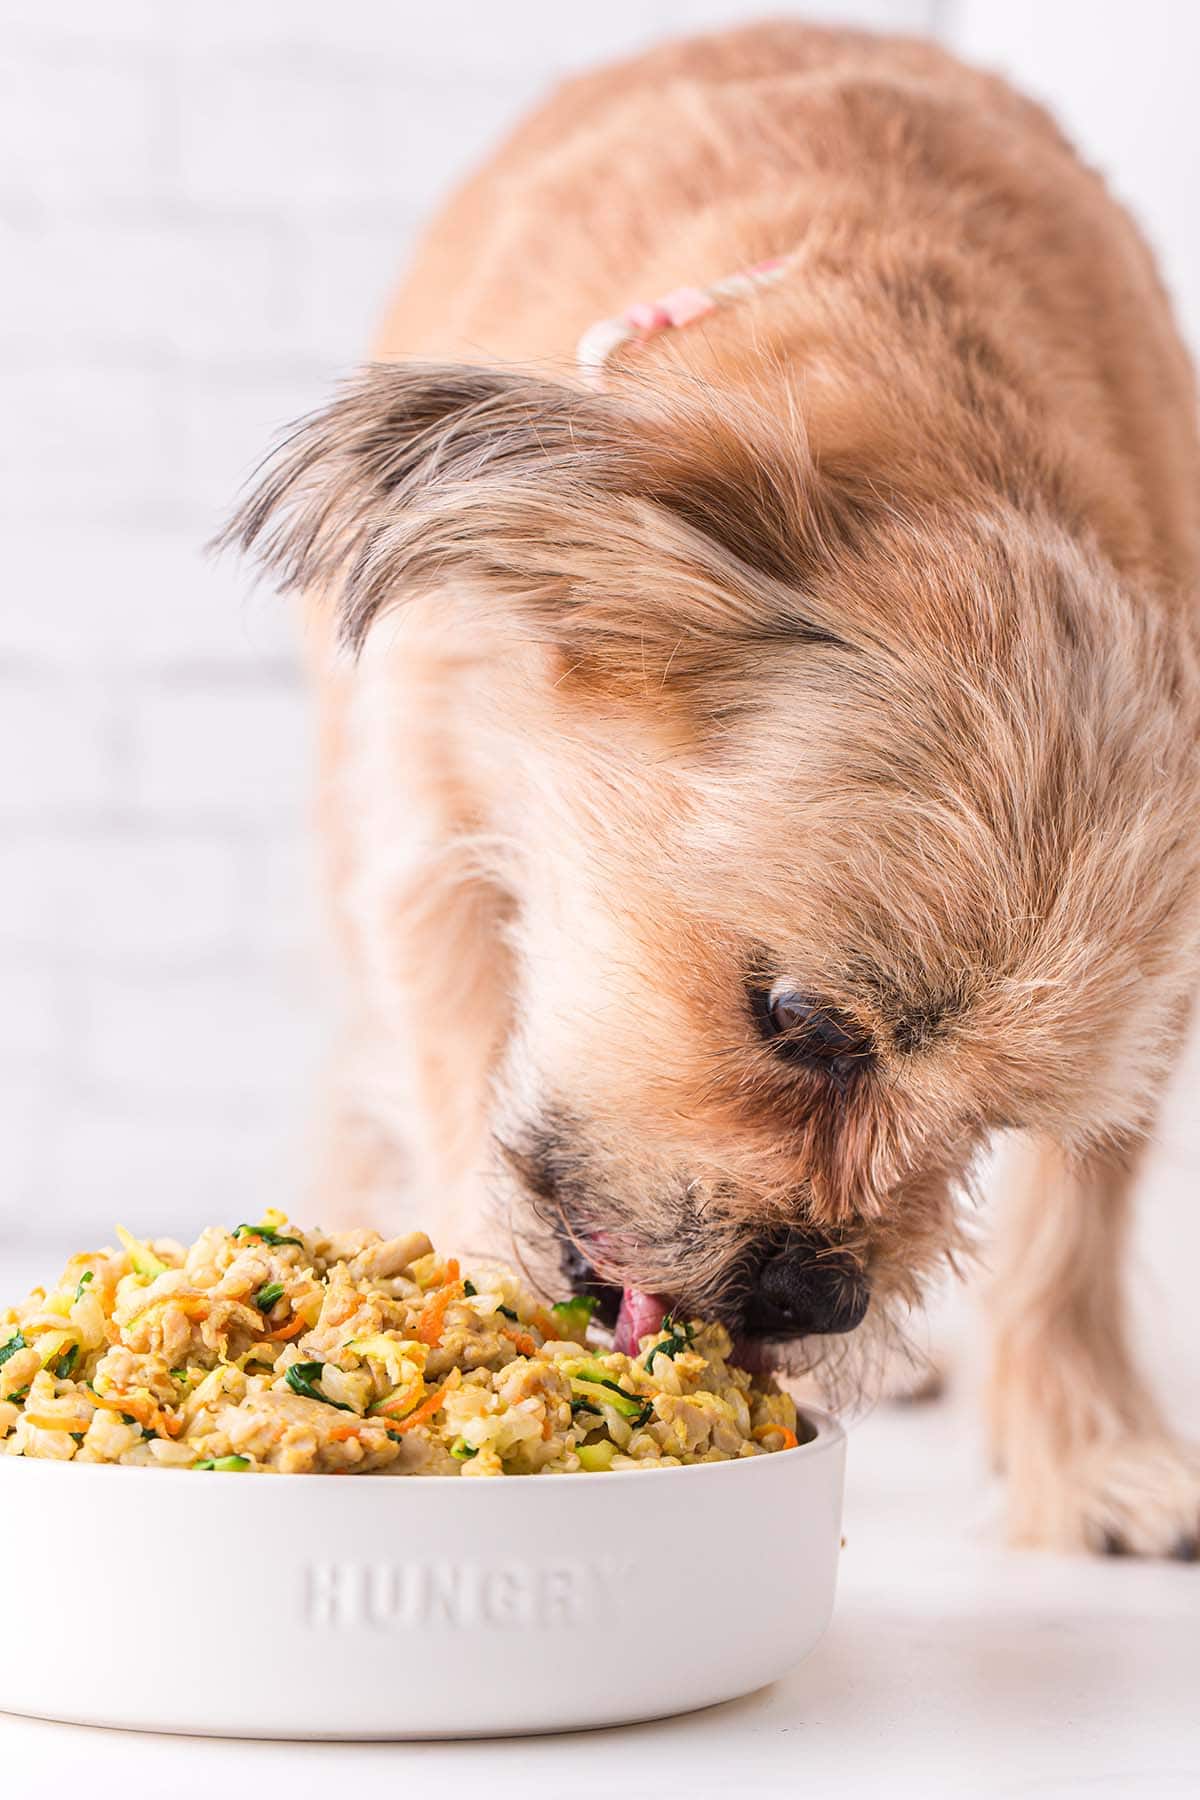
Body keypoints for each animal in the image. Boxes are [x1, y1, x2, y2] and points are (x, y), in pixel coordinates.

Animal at [223, 21, 1200, 1555]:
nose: (820, 1302)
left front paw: (1092, 1454)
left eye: (995, 1122)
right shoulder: (428, 846)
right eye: (802, 1022)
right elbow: (456, 1074)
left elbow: (1075, 1228)